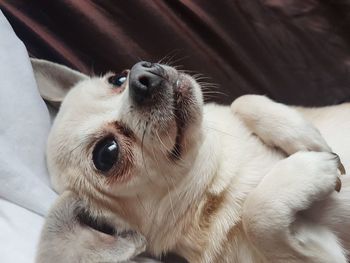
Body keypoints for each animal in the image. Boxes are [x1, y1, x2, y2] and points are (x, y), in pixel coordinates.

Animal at [31, 58, 350, 262]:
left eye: (118, 79)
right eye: (107, 153)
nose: (140, 76)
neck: (218, 173)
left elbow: (242, 100)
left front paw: (306, 136)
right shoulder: (322, 255)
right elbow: (257, 213)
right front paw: (312, 167)